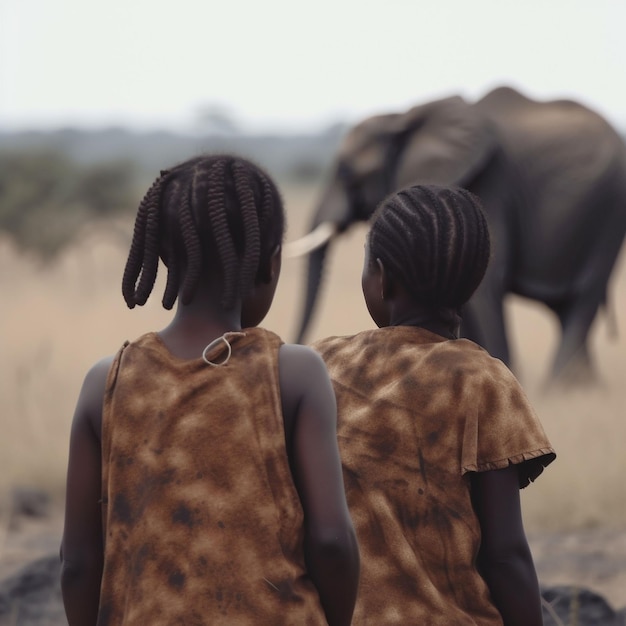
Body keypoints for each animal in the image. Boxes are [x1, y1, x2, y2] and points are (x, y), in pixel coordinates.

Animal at [290, 85, 624, 382]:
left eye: (346, 172)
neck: (402, 118)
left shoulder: (488, 183)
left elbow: (488, 282)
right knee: (566, 305)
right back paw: (579, 387)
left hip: (609, 210)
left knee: (585, 293)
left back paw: (561, 387)